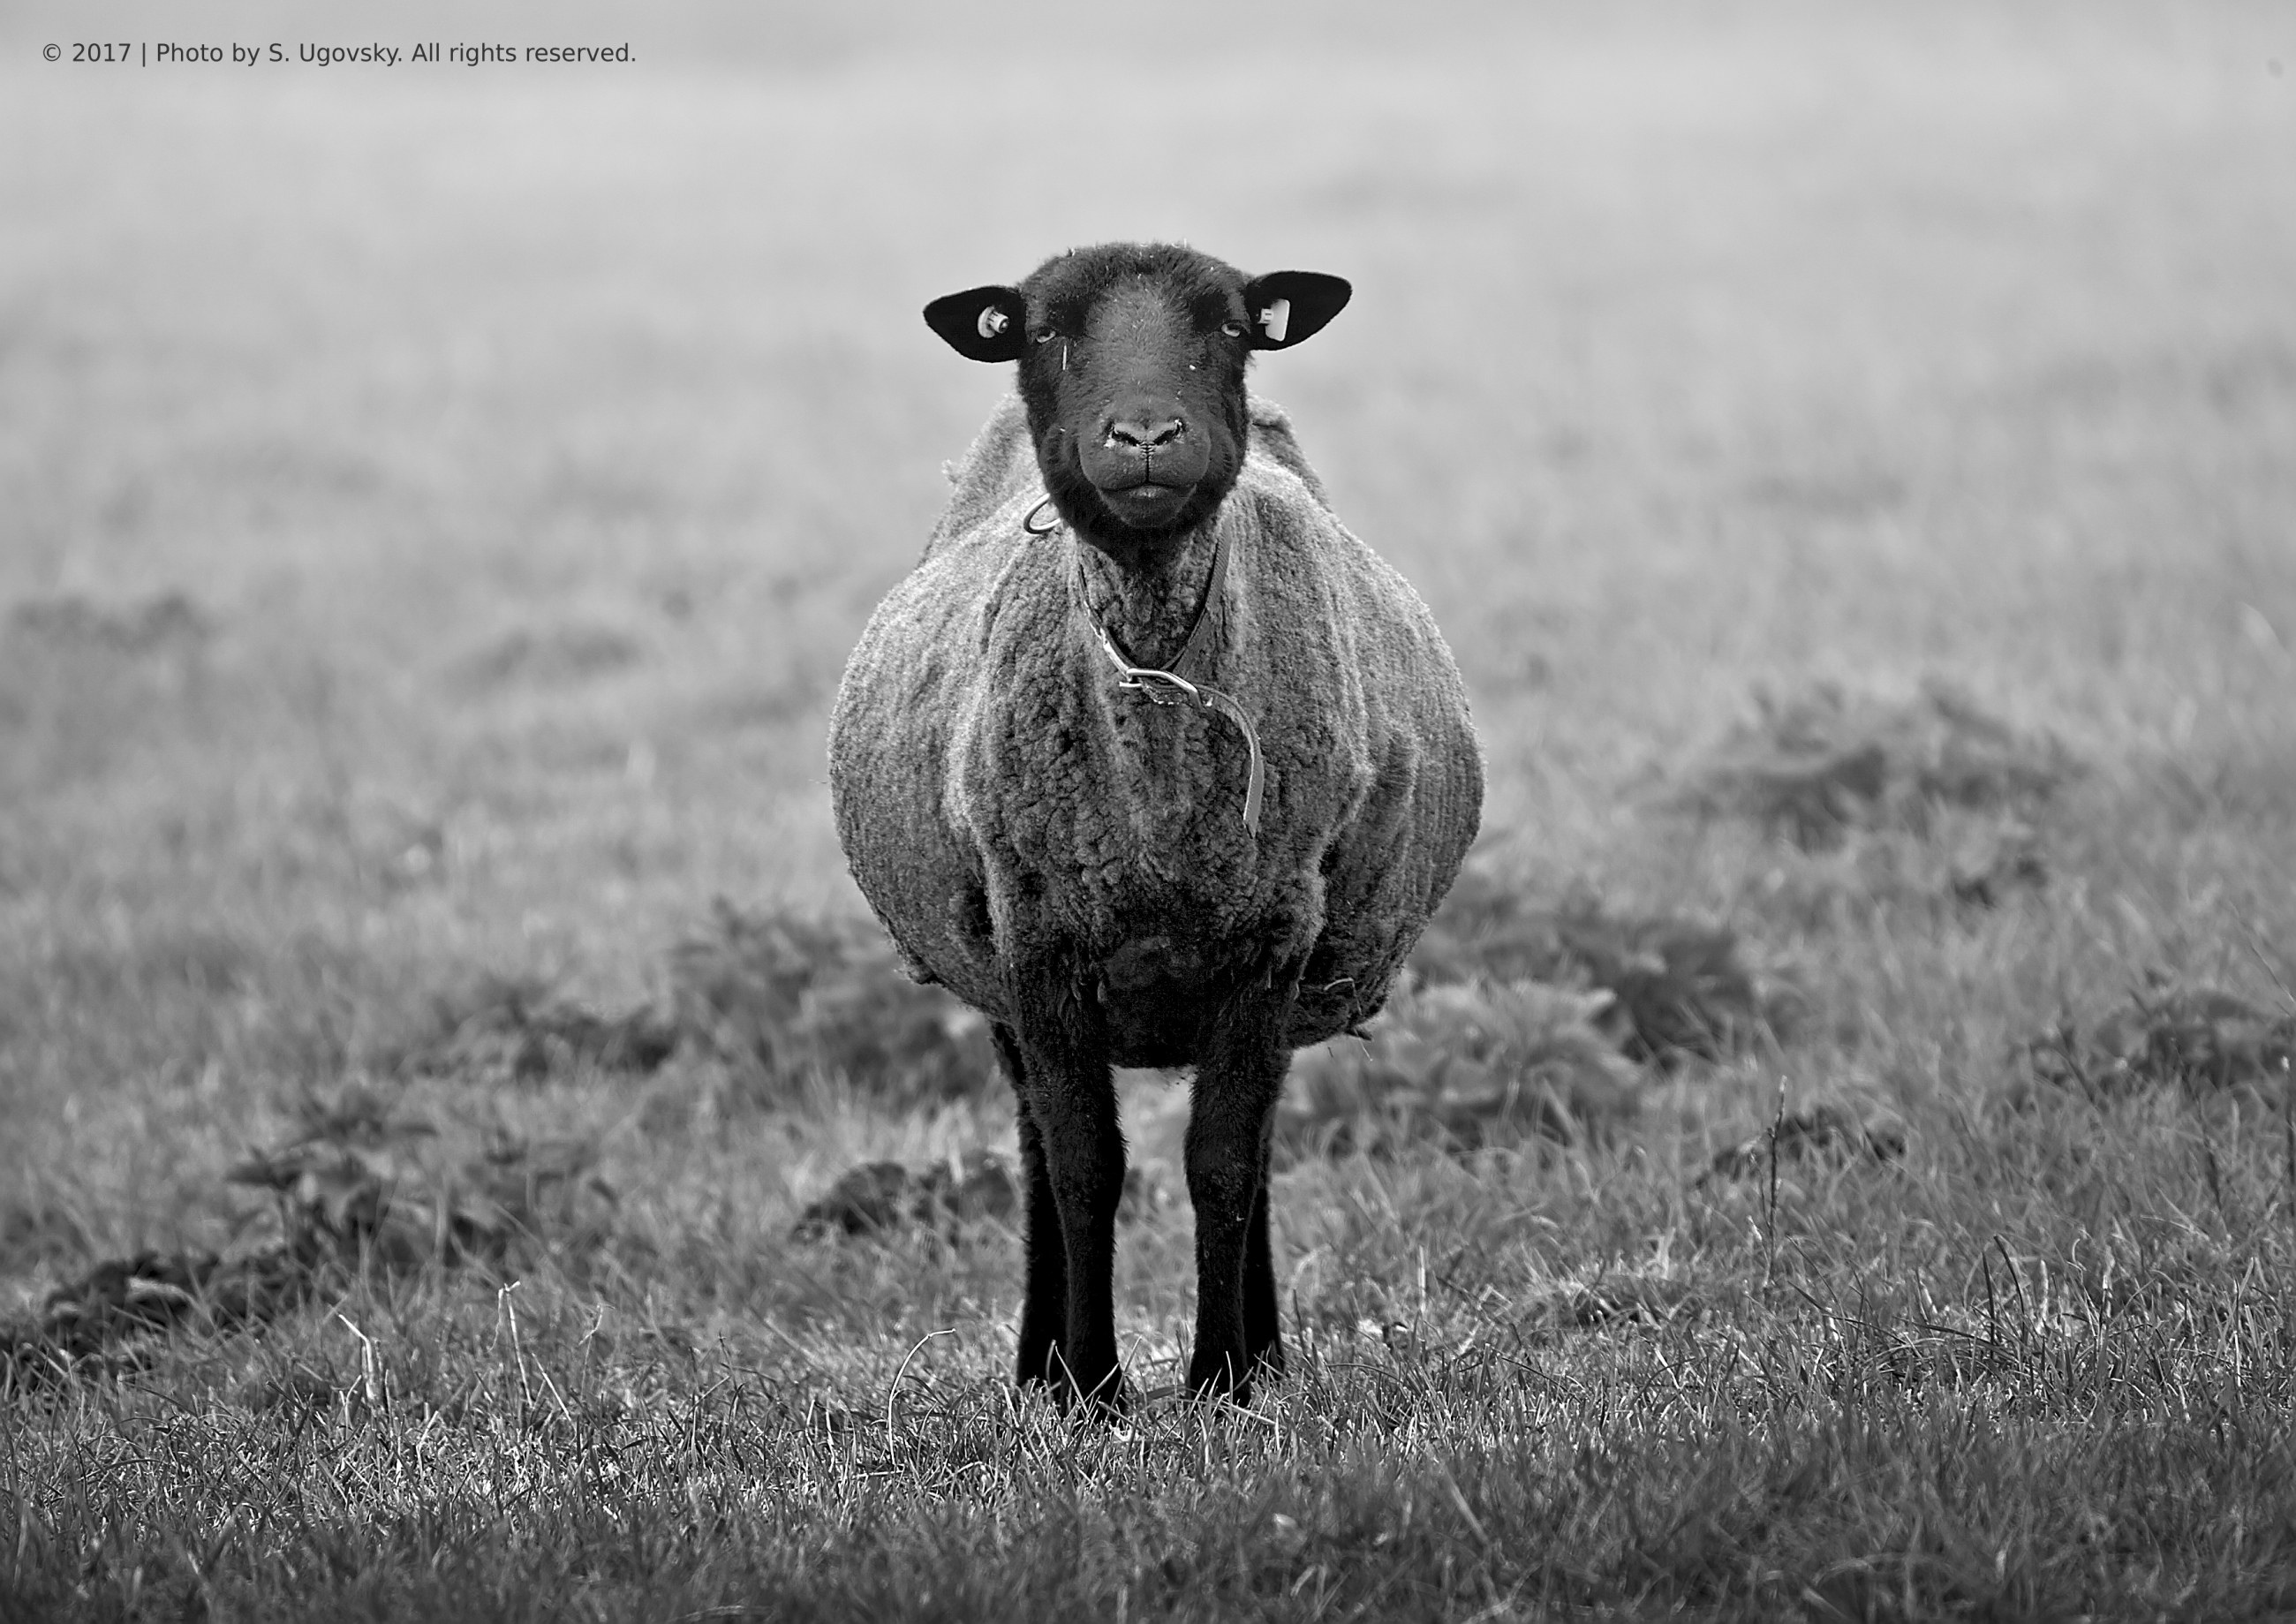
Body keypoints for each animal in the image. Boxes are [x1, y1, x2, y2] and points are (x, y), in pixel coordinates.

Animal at [835, 241, 1478, 1405]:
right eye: (1043, 330)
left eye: (1227, 325)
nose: (1141, 437)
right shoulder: (1037, 941)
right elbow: (1084, 1166)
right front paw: (1091, 1388)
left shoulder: (1270, 937)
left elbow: (1221, 1162)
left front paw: (1221, 1375)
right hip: (999, 975)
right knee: (1036, 1150)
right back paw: (1040, 1368)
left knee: (1248, 1145)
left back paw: (1260, 1355)